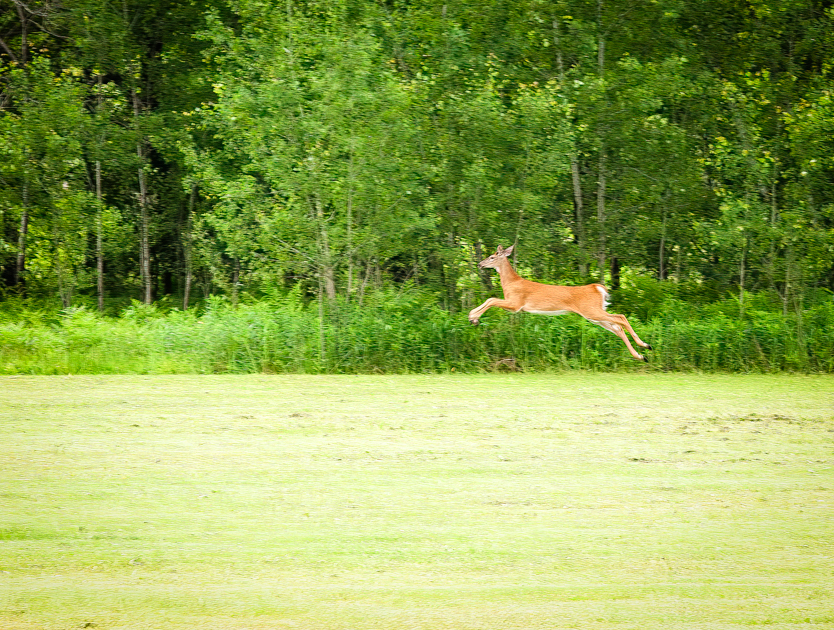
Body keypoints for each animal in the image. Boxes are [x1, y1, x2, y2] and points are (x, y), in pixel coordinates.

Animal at [468, 244, 653, 361]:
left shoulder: (516, 303)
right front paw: (473, 318)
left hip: (591, 310)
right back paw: (641, 355)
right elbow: (490, 299)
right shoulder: (514, 304)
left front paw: (473, 317)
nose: (480, 264)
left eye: (492, 257)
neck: (511, 283)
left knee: (620, 317)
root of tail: (597, 287)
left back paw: (645, 345)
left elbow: (491, 299)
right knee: (618, 328)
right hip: (593, 315)